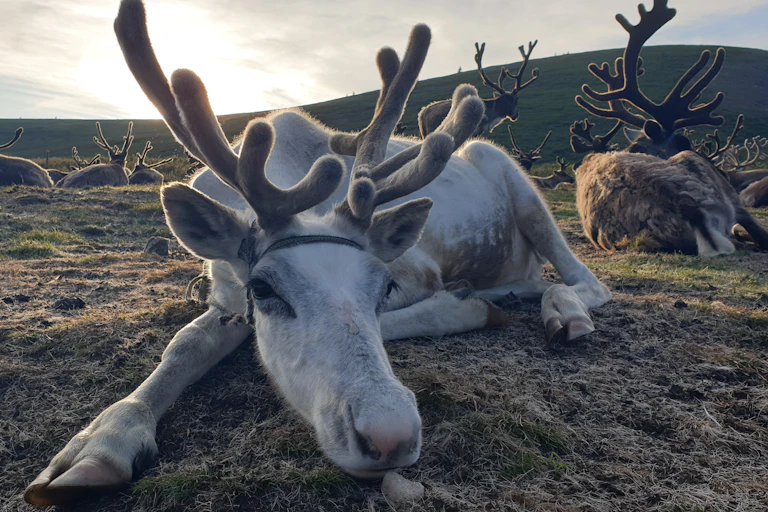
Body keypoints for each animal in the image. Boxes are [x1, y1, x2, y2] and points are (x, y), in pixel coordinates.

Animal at [23, 0, 611, 506]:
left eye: (384, 285)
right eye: (264, 288)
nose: (389, 437)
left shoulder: (420, 271)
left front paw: (464, 305)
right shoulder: (226, 290)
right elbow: (182, 346)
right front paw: (99, 445)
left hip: (519, 184)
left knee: (587, 281)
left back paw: (559, 311)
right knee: (533, 280)